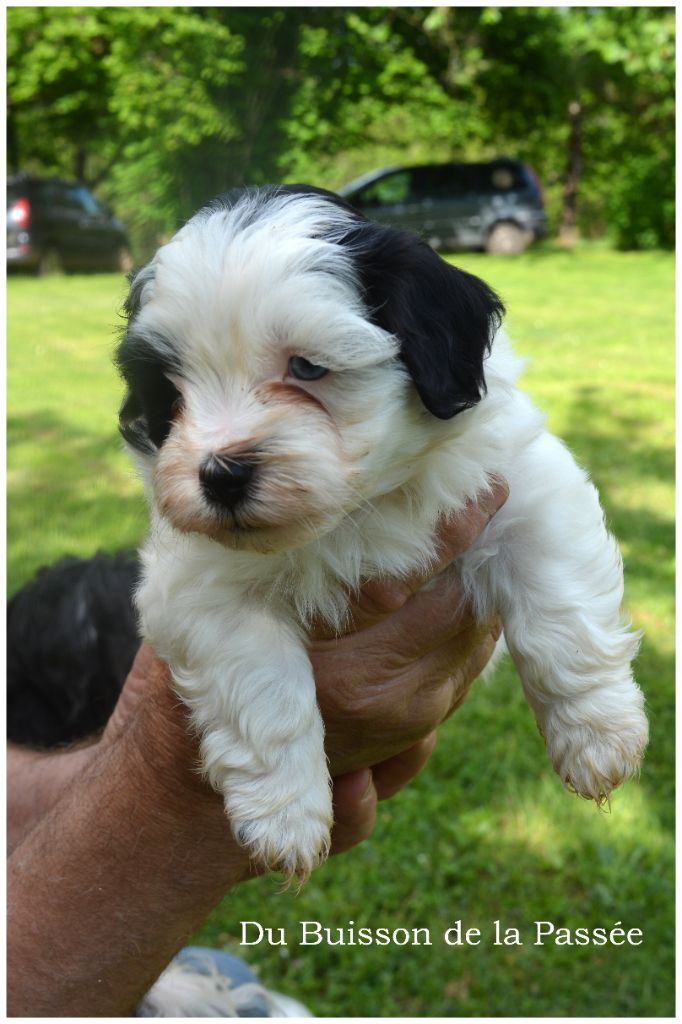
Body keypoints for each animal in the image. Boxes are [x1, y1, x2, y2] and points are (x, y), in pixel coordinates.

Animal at [115, 186, 643, 880]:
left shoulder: (524, 489)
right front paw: (285, 814)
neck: (357, 511)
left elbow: (562, 618)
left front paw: (597, 735)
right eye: (170, 393)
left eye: (307, 367)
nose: (221, 475)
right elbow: (263, 686)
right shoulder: (197, 584)